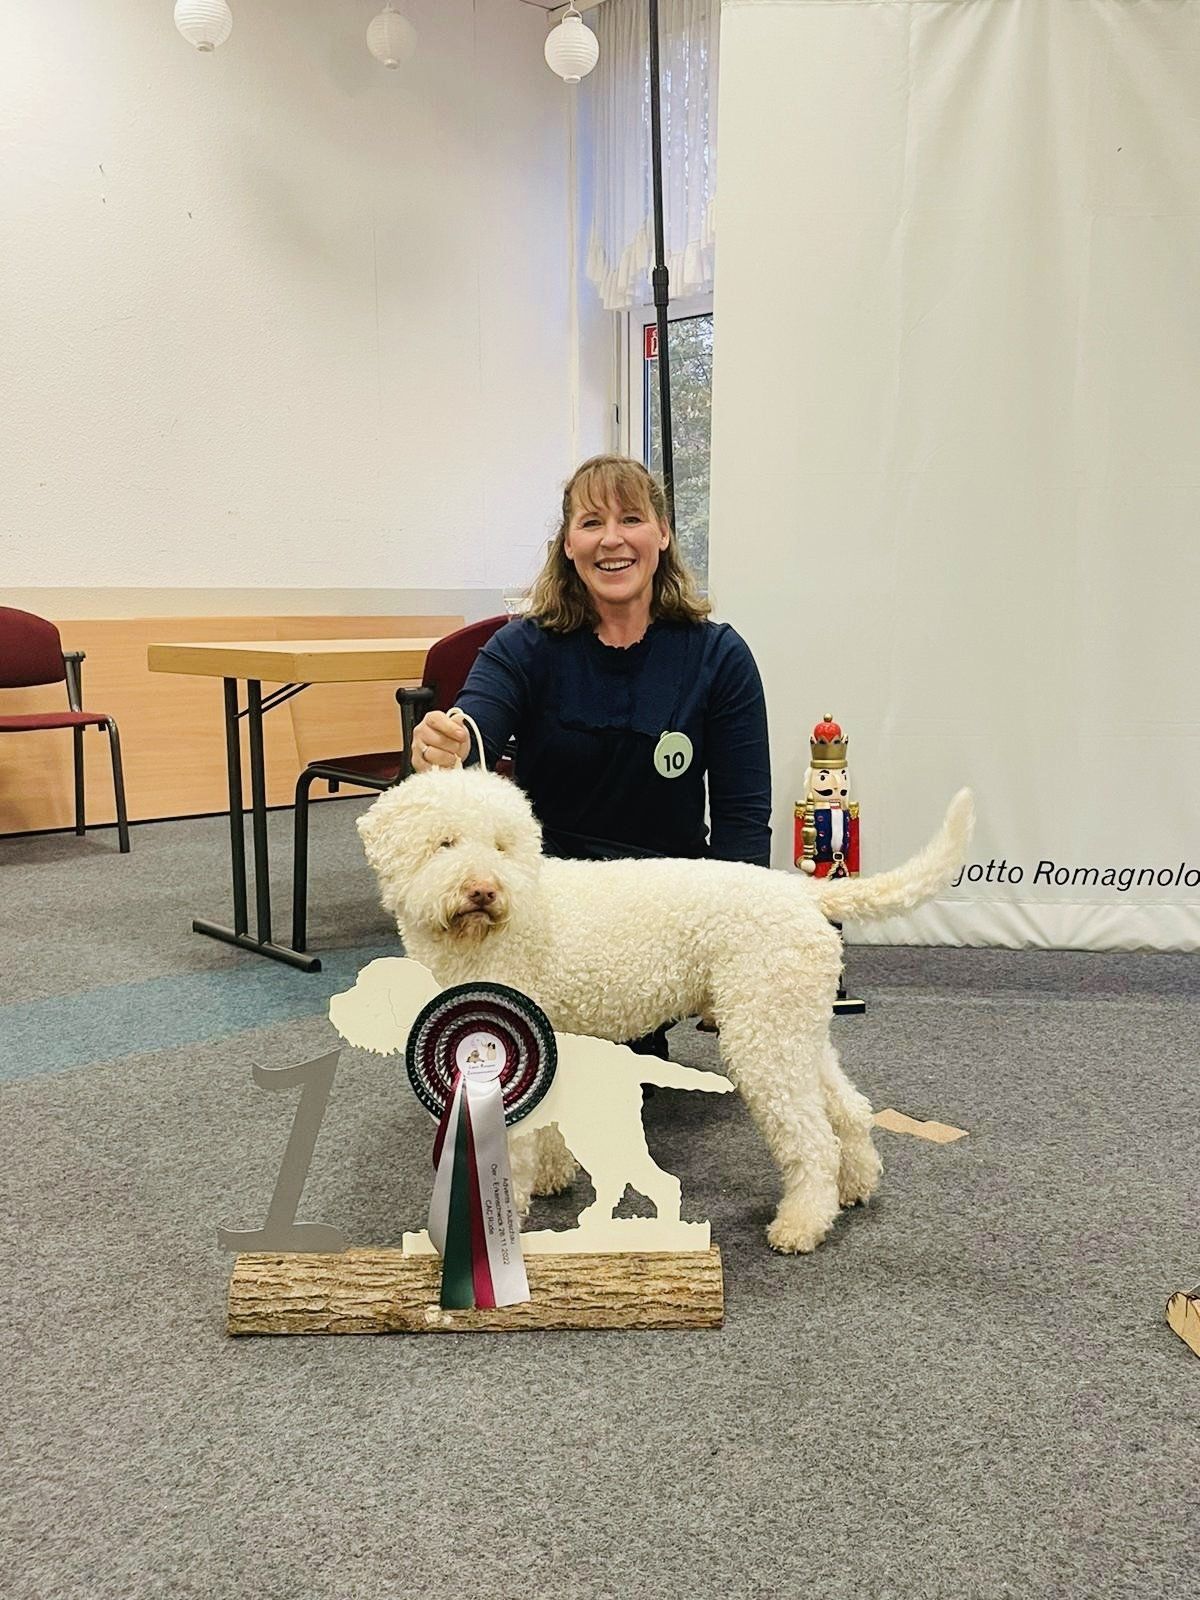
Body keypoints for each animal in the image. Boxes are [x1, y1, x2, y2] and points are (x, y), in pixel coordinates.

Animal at [357, 768, 973, 1253]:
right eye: (444, 843)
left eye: (501, 845)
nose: (484, 890)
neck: (500, 928)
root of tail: (802, 893)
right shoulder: (550, 1041)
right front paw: (555, 1177)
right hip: (793, 1024)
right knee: (848, 1107)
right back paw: (857, 1185)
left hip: (761, 1039)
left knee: (812, 1138)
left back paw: (801, 1225)